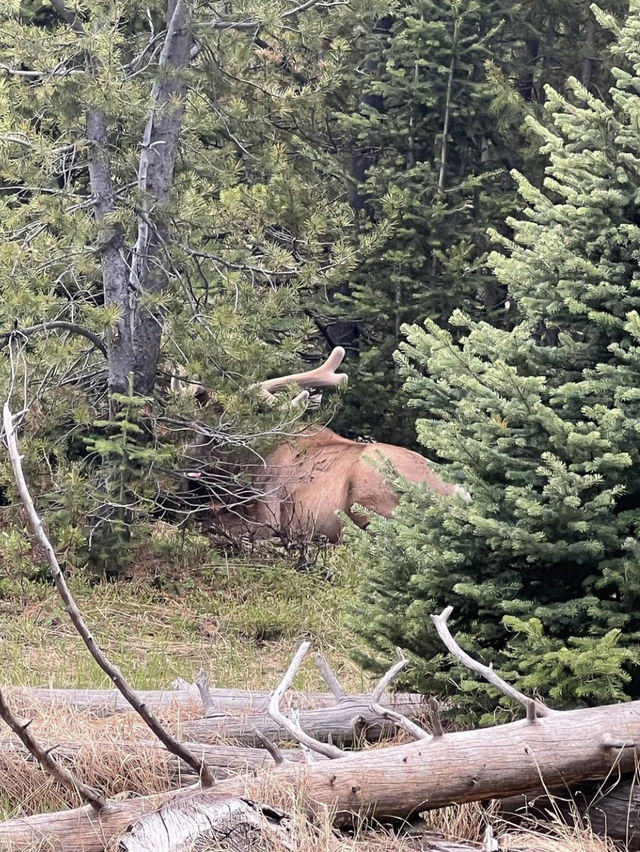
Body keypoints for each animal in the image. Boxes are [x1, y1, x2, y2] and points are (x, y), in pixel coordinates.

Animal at [182, 344, 468, 540]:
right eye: (197, 421)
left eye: (230, 429)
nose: (190, 465)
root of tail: (458, 494)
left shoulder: (268, 512)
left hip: (372, 488)